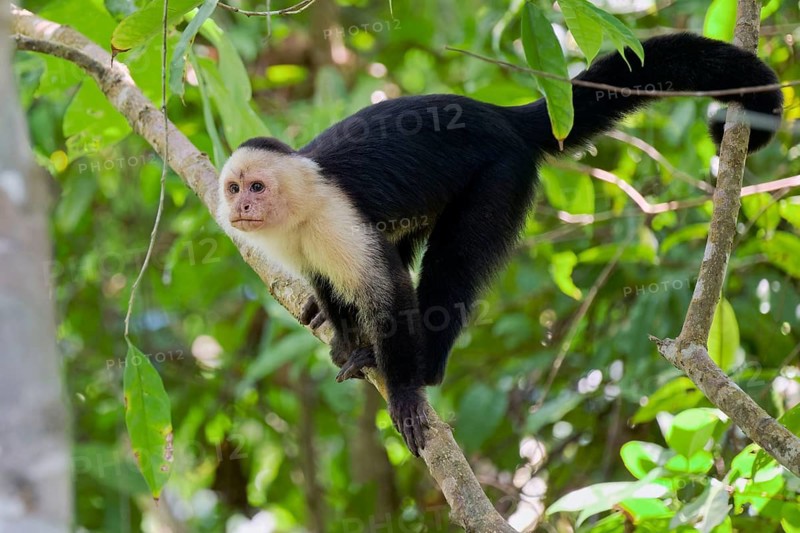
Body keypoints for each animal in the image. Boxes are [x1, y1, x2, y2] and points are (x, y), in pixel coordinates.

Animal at [216, 33, 783, 456]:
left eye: (257, 187)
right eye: (233, 188)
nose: (240, 208)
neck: (300, 206)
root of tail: (501, 115)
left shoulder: (333, 218)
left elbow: (387, 291)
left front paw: (402, 389)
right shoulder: (295, 244)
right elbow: (330, 286)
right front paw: (348, 341)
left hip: (500, 173)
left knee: (452, 265)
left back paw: (427, 366)